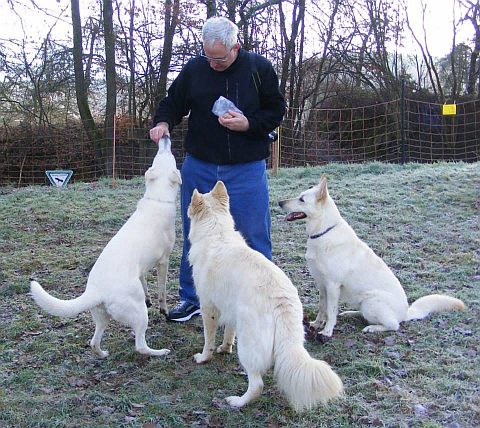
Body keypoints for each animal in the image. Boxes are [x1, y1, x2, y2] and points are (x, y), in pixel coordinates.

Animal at [30, 137, 181, 358]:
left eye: (159, 155)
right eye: (169, 156)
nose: (164, 137)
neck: (158, 198)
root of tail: (96, 291)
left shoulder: (142, 269)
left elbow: (145, 284)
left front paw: (149, 298)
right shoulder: (164, 261)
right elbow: (161, 291)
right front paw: (164, 309)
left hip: (102, 317)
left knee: (94, 342)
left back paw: (103, 354)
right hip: (138, 315)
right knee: (140, 345)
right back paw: (160, 352)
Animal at [187, 181, 342, 412]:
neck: (217, 233)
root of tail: (282, 302)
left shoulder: (208, 308)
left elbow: (209, 339)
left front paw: (204, 357)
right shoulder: (230, 309)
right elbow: (228, 333)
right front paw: (225, 348)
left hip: (248, 346)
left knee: (257, 384)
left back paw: (237, 402)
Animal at [278, 174, 464, 338]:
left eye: (302, 199)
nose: (279, 202)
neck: (324, 231)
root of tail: (406, 312)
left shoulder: (332, 286)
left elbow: (331, 312)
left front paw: (327, 331)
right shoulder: (322, 286)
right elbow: (322, 309)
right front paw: (316, 324)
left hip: (371, 302)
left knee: (393, 325)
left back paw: (372, 328)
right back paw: (351, 313)